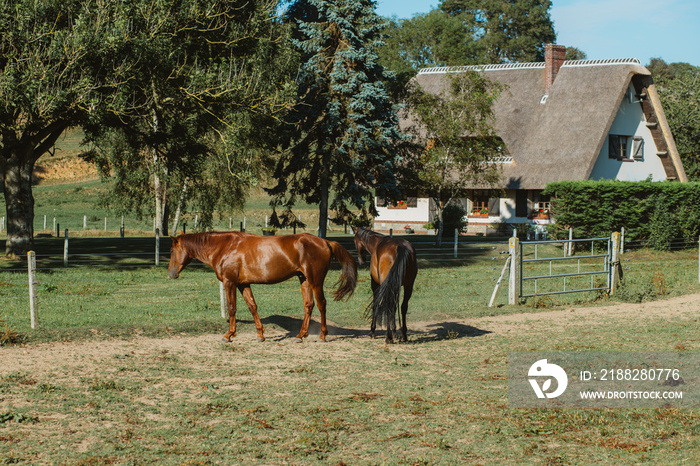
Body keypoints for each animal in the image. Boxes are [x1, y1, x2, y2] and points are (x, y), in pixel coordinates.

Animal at [167, 232, 358, 342]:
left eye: (171, 251)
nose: (171, 274)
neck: (225, 246)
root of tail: (325, 242)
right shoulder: (243, 284)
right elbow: (252, 306)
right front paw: (260, 334)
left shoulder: (230, 282)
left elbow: (232, 308)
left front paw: (229, 335)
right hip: (304, 280)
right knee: (309, 305)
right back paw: (300, 335)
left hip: (315, 281)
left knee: (321, 304)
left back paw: (322, 335)